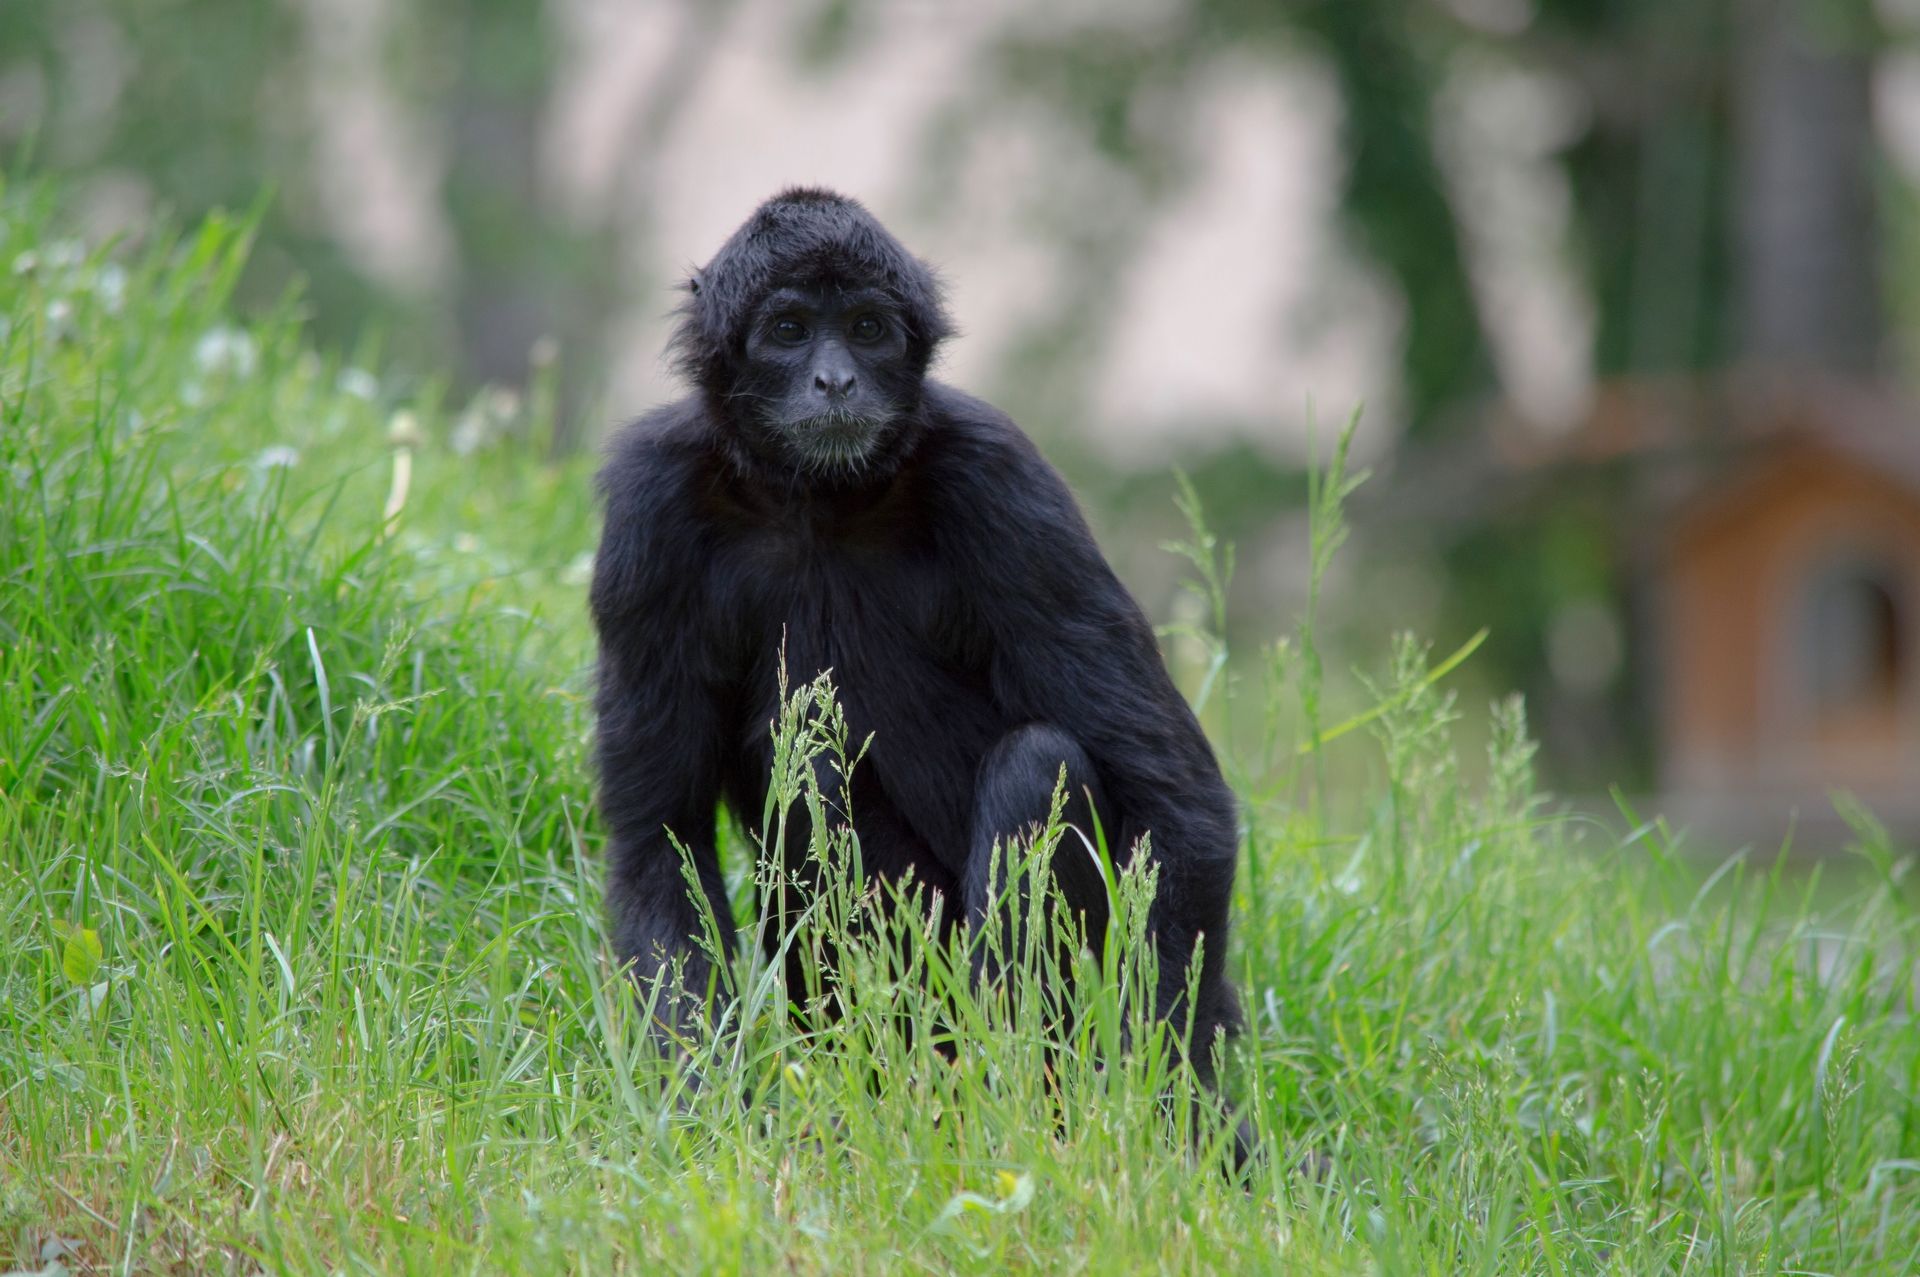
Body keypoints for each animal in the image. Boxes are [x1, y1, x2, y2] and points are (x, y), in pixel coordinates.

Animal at [587, 184, 1244, 1129]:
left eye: (867, 328)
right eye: (789, 329)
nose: (835, 378)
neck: (820, 501)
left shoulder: (1002, 476)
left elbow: (1180, 800)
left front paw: (1155, 1120)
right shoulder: (650, 508)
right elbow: (659, 836)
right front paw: (713, 1118)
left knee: (1040, 762)